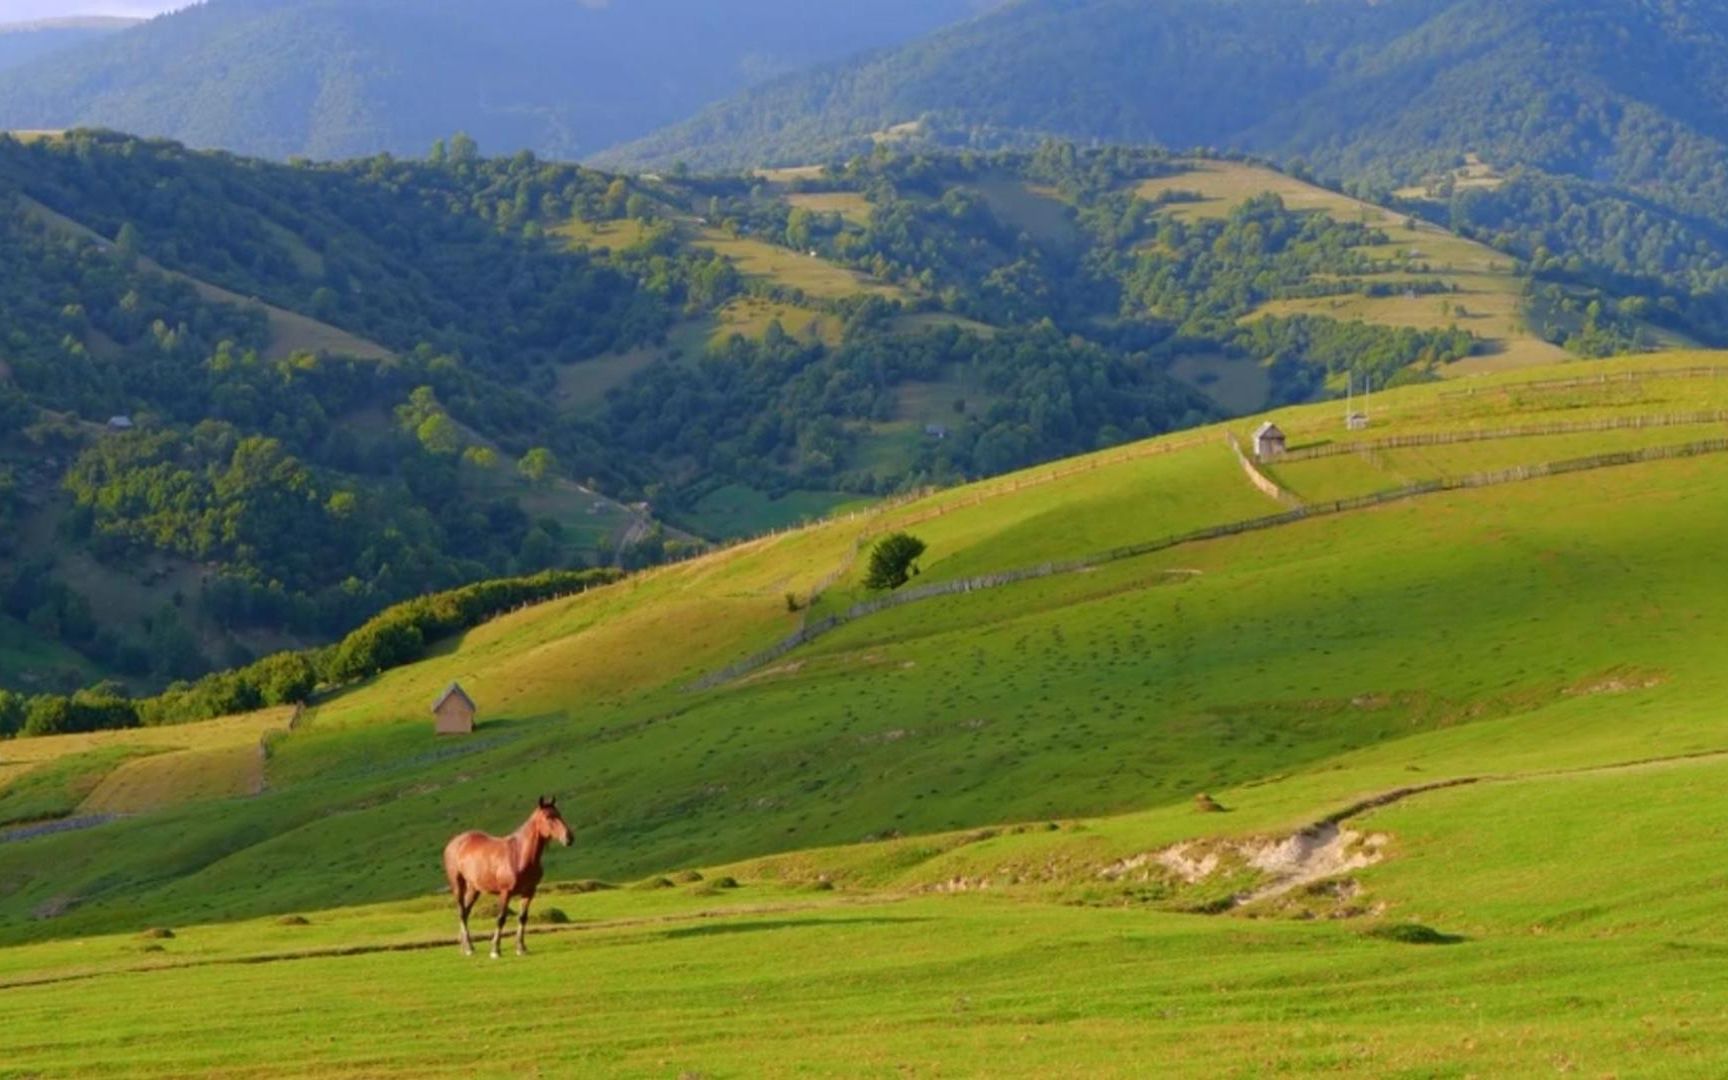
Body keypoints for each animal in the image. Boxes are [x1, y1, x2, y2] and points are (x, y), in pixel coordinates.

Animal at [442, 791, 570, 953]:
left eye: (559, 814)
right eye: (548, 817)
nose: (569, 837)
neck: (519, 854)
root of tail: (455, 842)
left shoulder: (529, 892)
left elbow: (522, 917)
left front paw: (521, 947)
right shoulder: (505, 892)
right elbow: (501, 918)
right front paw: (495, 949)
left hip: (474, 888)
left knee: (465, 912)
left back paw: (466, 946)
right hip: (458, 884)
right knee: (461, 912)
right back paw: (469, 948)